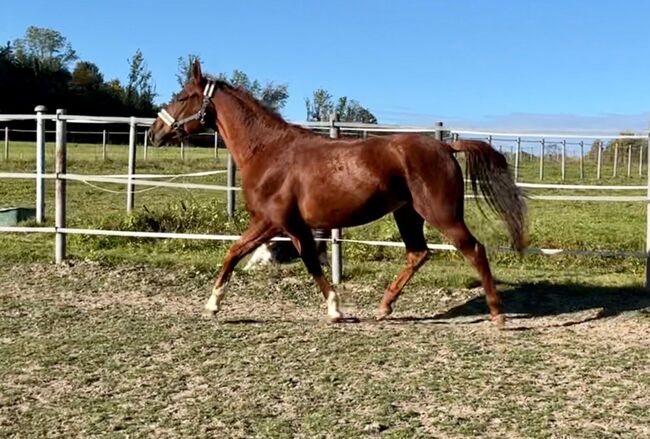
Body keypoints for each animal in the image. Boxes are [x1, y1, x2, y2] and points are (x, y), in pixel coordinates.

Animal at [149, 62, 524, 326]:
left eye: (181, 97)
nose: (154, 132)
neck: (269, 153)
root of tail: (446, 147)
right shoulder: (287, 226)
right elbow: (286, 259)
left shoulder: (275, 222)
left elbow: (247, 254)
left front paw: (213, 304)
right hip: (407, 214)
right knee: (418, 254)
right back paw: (384, 307)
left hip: (443, 214)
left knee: (474, 250)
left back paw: (497, 314)